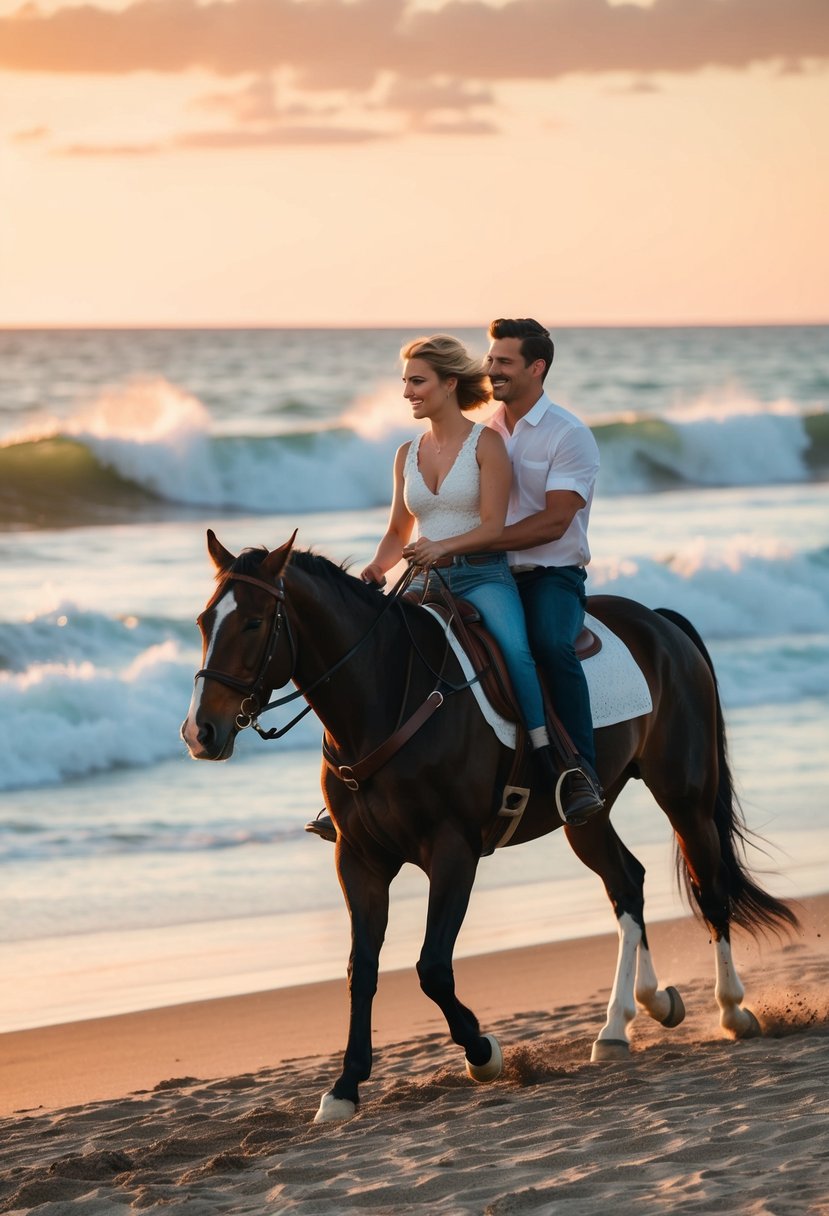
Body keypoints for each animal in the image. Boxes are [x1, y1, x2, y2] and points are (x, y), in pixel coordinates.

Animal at [178, 530, 792, 1118]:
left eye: (255, 622)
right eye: (204, 622)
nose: (199, 732)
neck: (386, 700)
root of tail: (660, 622)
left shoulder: (453, 850)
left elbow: (431, 967)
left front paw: (482, 1053)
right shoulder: (358, 860)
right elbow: (362, 969)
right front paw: (346, 1087)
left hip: (684, 794)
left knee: (710, 889)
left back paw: (731, 1010)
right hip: (587, 815)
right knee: (628, 883)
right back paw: (630, 1016)